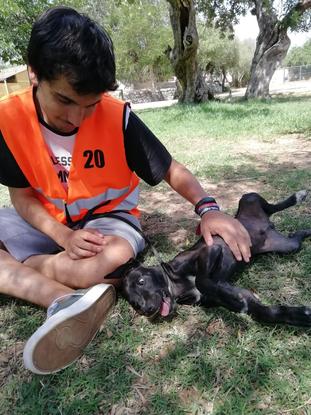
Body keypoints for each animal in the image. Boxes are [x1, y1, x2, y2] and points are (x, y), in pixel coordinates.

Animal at [116, 192, 311, 328]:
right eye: (134, 304)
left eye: (141, 281)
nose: (147, 310)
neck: (176, 284)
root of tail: (268, 225)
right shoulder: (228, 294)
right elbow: (263, 311)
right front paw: (301, 315)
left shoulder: (210, 250)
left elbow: (202, 280)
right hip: (287, 246)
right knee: (294, 236)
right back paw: (305, 230)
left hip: (249, 198)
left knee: (272, 207)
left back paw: (298, 196)